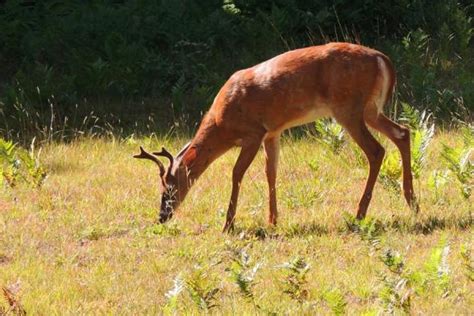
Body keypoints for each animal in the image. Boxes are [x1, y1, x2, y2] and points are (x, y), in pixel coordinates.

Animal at [133, 41, 418, 232]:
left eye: (169, 187)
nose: (162, 216)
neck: (222, 123)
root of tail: (383, 60)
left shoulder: (254, 133)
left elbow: (237, 173)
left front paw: (228, 224)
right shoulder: (273, 132)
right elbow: (271, 172)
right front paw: (273, 220)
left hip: (348, 108)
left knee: (376, 150)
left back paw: (360, 213)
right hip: (370, 109)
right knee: (403, 133)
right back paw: (412, 201)